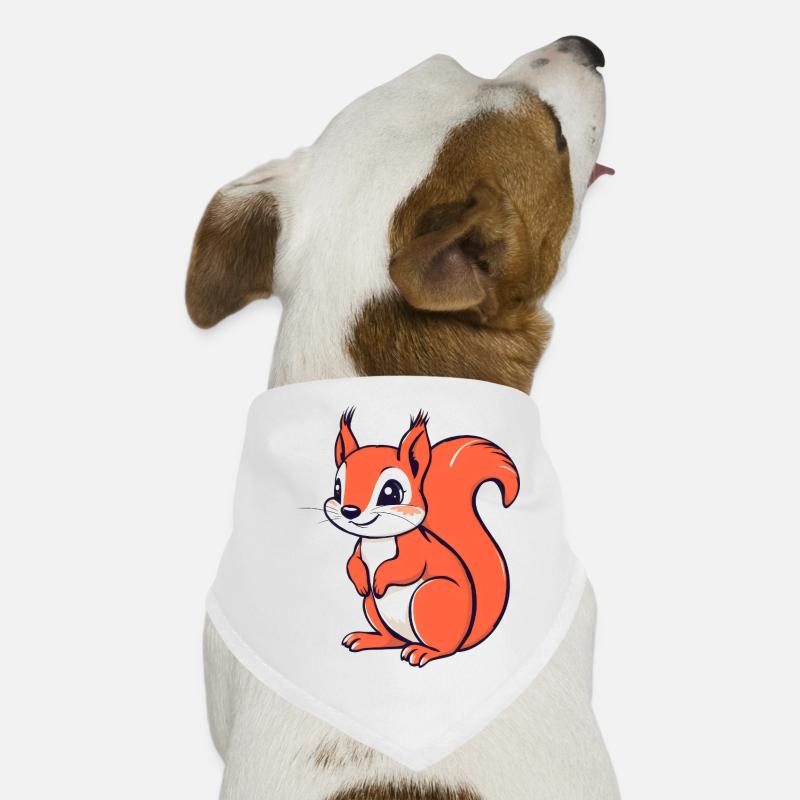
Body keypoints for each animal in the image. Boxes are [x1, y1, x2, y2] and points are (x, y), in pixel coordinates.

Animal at [323, 409, 519, 667]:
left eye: (391, 492)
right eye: (337, 487)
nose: (349, 511)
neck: (379, 541)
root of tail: (464, 638)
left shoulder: (416, 549)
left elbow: (408, 567)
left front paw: (379, 580)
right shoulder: (359, 547)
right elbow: (352, 562)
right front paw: (363, 581)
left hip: (430, 596)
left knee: (444, 648)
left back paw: (423, 652)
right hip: (372, 607)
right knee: (392, 638)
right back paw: (368, 638)